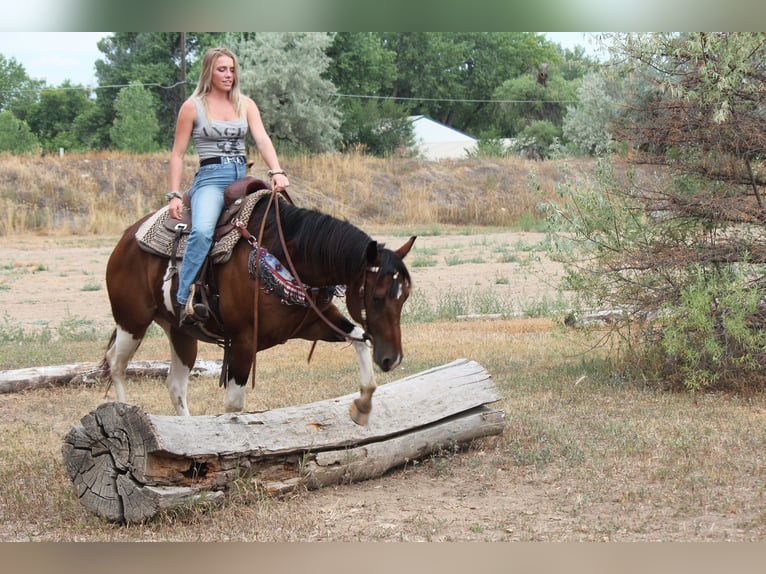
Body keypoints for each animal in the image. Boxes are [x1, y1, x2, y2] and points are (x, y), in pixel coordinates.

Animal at [102, 177, 415, 425]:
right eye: (376, 297)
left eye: (404, 296)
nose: (393, 358)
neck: (284, 255)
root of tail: (126, 238)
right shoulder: (242, 341)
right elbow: (233, 406)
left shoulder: (313, 324)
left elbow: (360, 339)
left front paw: (362, 406)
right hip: (132, 321)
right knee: (116, 365)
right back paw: (122, 410)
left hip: (180, 333)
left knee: (175, 385)